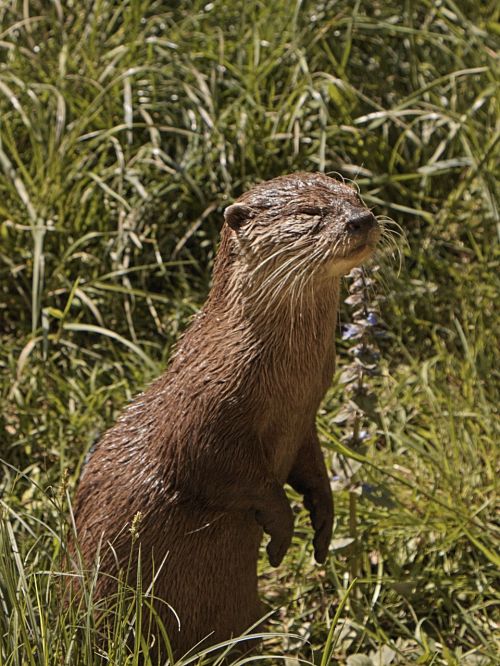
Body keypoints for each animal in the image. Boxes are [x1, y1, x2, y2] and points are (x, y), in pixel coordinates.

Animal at [72, 171, 378, 652]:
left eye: (356, 195)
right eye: (309, 211)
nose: (361, 220)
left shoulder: (304, 423)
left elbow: (313, 469)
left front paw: (323, 519)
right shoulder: (200, 418)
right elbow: (223, 473)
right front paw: (282, 531)